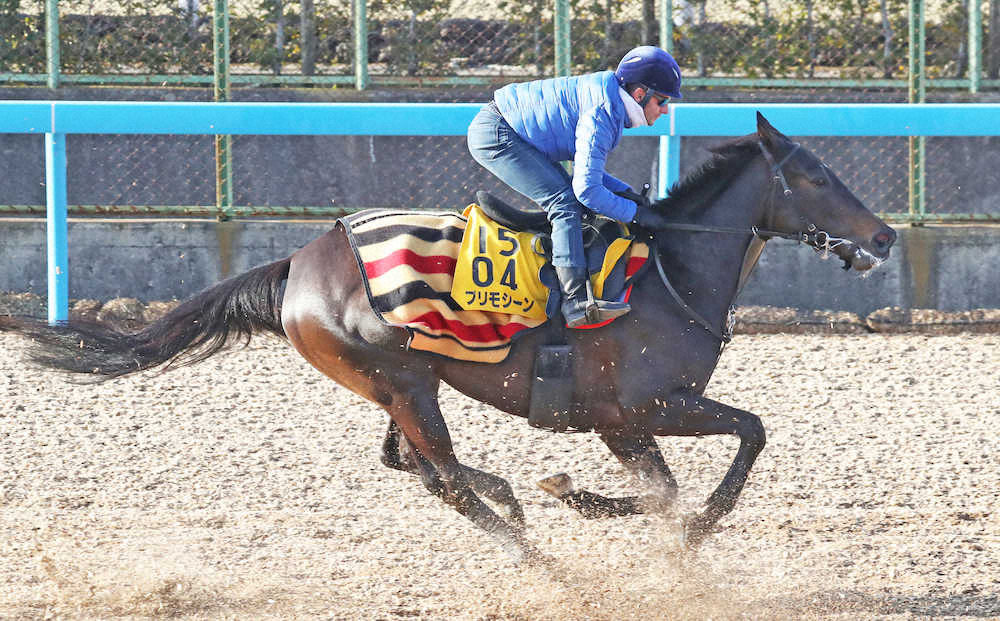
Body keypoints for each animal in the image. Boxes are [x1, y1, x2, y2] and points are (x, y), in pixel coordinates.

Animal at [1, 112, 900, 560]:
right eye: (813, 174)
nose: (886, 236)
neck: (669, 269)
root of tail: (299, 260)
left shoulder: (629, 421)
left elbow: (693, 470)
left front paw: (590, 500)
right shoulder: (637, 410)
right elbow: (729, 450)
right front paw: (606, 504)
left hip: (397, 383)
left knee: (415, 466)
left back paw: (515, 501)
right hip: (402, 381)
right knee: (444, 479)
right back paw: (538, 551)